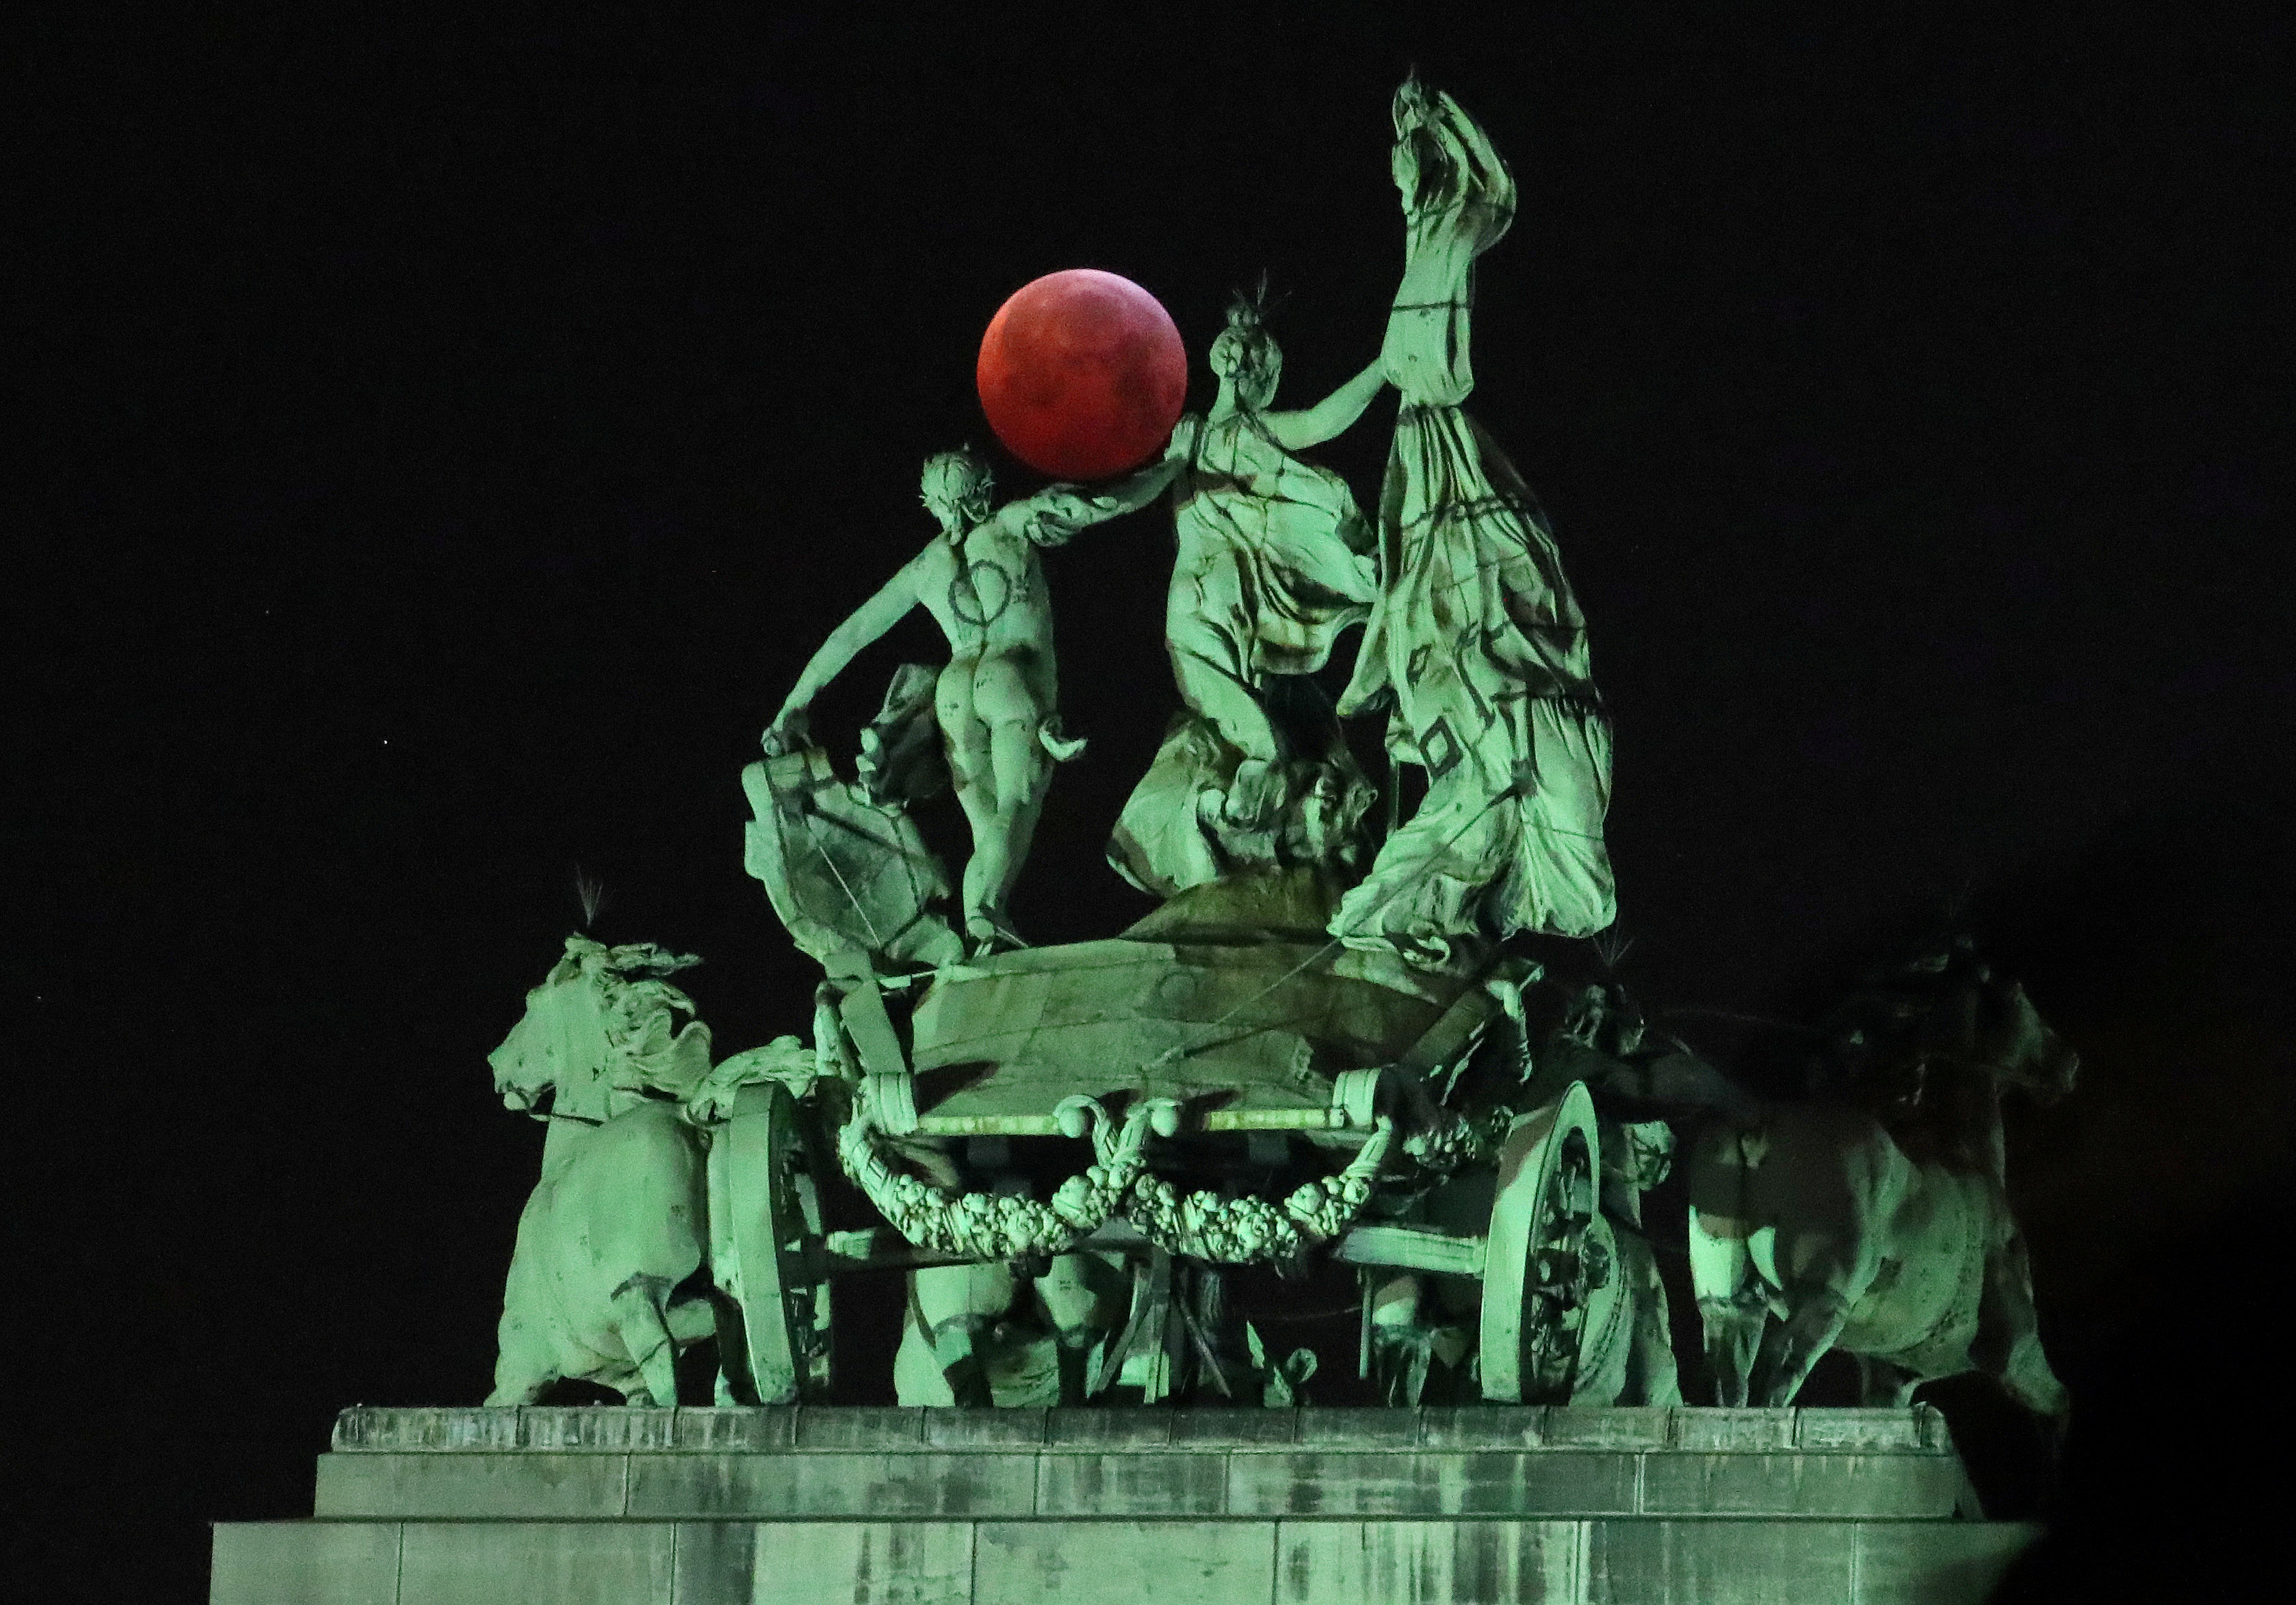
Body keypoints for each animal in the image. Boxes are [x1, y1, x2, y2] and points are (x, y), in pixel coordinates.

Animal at [488, 937, 720, 1414]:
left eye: (530, 1003)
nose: (495, 1064)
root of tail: (691, 1121)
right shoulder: (626, 1382)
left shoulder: (519, 1370)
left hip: (637, 1293)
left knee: (664, 1352)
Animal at [1690, 941, 2085, 1433]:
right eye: (2017, 993)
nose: (2070, 1062)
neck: (1964, 1155)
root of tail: (1759, 1125)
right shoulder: (2016, 1354)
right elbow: (2061, 1407)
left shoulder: (1891, 1376)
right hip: (1824, 1302)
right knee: (1777, 1375)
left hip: (1728, 1304)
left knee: (1731, 1378)